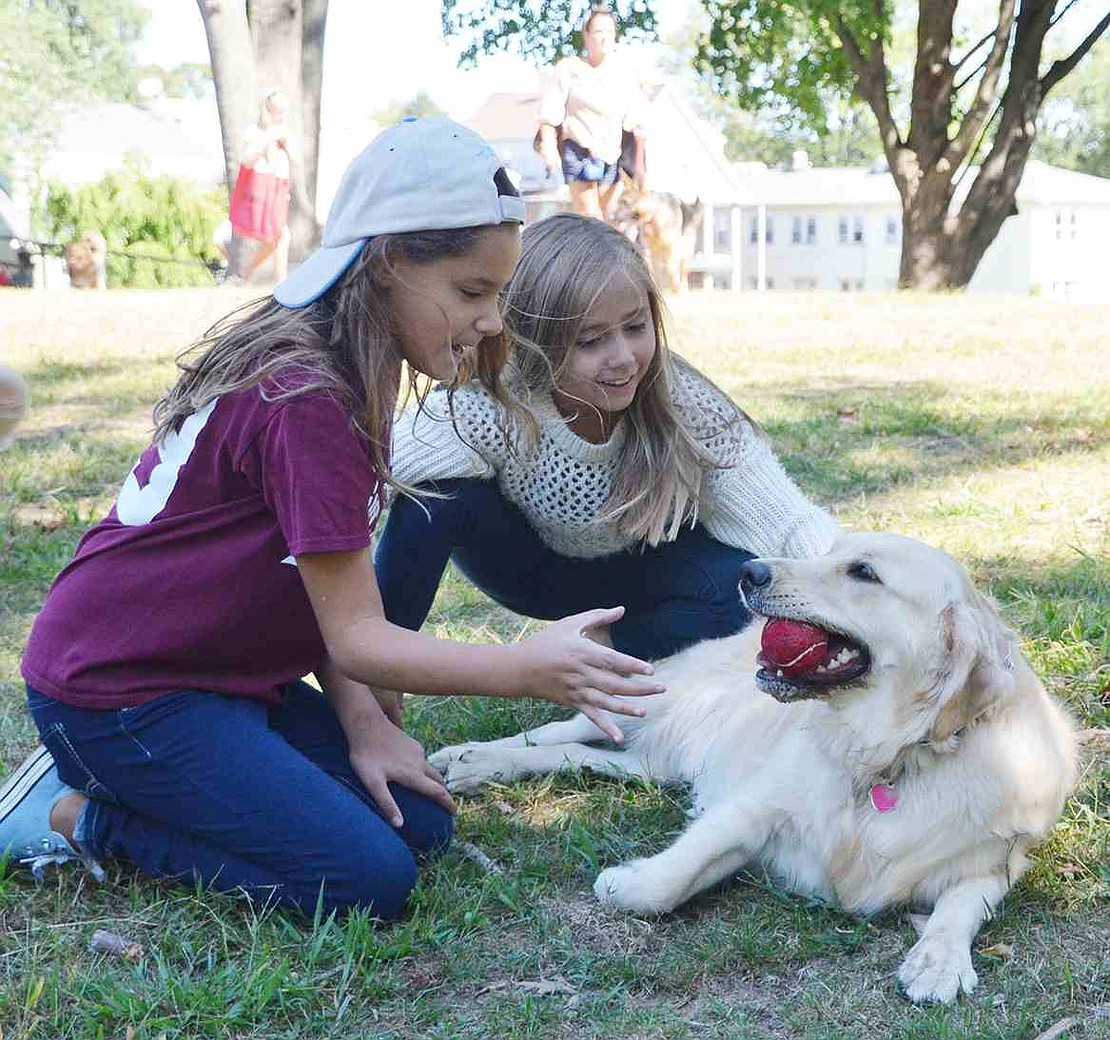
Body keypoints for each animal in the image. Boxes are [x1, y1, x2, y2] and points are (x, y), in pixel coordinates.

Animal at [430, 530, 1074, 1003]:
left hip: (654, 761)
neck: (883, 759)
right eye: (830, 553)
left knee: (591, 757)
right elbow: (671, 878)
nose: (750, 572)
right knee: (560, 729)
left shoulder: (991, 863)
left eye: (862, 572)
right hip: (652, 696)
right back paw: (467, 760)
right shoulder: (751, 808)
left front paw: (939, 961)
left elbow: (961, 907)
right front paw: (627, 882)